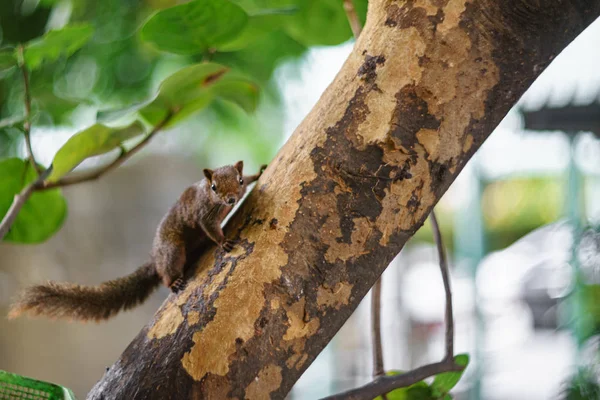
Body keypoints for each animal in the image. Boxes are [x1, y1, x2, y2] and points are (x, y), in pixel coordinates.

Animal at [7, 161, 264, 320]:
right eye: (213, 186)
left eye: (240, 180)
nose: (231, 199)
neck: (217, 203)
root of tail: (154, 258)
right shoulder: (204, 215)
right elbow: (211, 230)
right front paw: (223, 242)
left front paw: (259, 172)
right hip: (172, 251)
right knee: (166, 272)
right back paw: (173, 281)